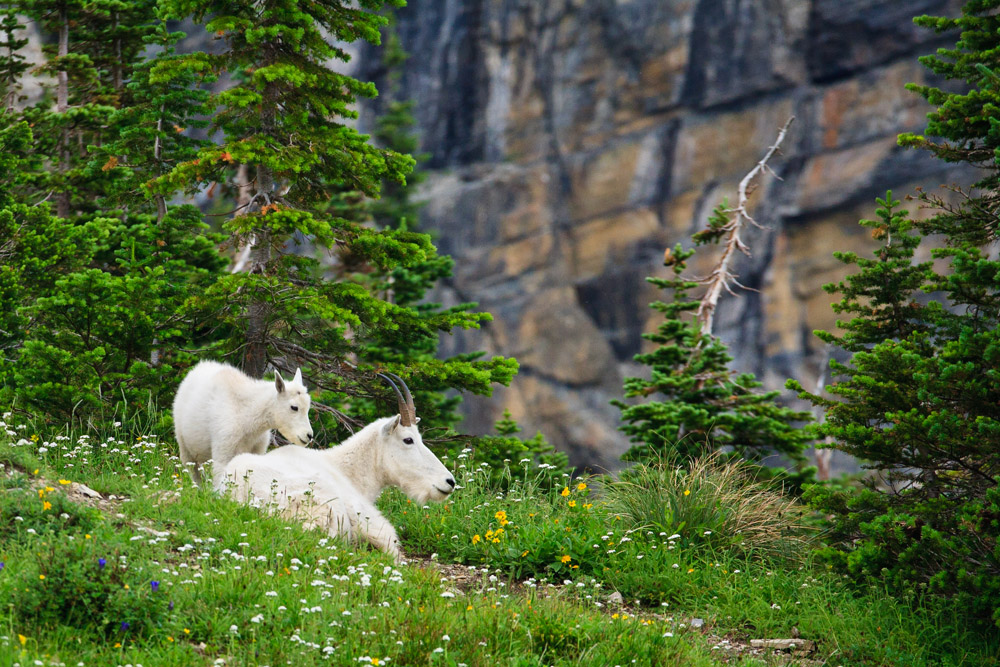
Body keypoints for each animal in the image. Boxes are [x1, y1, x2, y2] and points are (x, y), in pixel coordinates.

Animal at [172, 362, 312, 488]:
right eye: (294, 407)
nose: (309, 435)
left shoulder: (257, 450)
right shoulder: (223, 450)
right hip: (184, 446)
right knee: (194, 473)